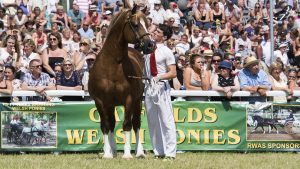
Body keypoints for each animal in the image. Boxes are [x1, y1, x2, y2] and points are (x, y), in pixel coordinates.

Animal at [88, 5, 154, 158]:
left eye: (147, 24)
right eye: (135, 24)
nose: (150, 45)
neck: (112, 66)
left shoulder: (129, 99)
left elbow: (127, 125)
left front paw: (127, 154)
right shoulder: (100, 101)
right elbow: (105, 126)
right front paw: (107, 154)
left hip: (137, 101)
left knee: (136, 123)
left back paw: (139, 152)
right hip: (111, 104)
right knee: (111, 124)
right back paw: (112, 151)